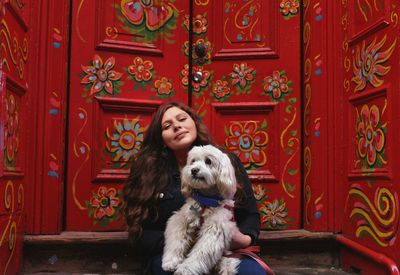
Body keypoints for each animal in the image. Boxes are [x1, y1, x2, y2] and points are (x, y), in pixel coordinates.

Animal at [161, 146, 239, 274]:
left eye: (208, 161)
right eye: (193, 161)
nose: (194, 170)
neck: (205, 201)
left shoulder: (214, 230)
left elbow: (200, 254)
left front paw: (185, 269)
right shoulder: (180, 220)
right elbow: (176, 242)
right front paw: (170, 261)